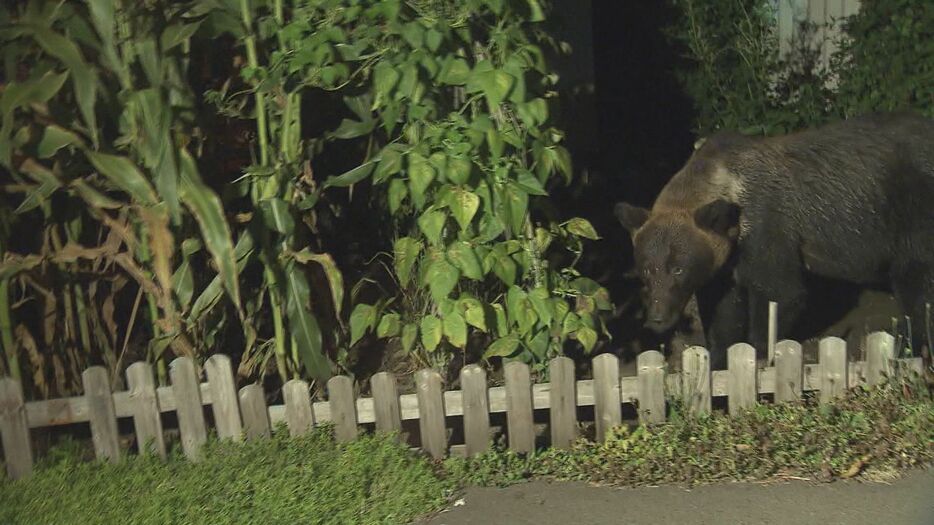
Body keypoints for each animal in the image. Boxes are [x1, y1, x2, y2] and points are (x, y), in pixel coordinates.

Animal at [616, 111, 932, 368]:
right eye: (647, 269)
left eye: (678, 268)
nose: (657, 317)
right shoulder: (728, 261)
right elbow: (723, 310)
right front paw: (718, 359)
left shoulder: (767, 227)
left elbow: (779, 292)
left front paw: (758, 353)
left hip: (912, 213)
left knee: (915, 279)